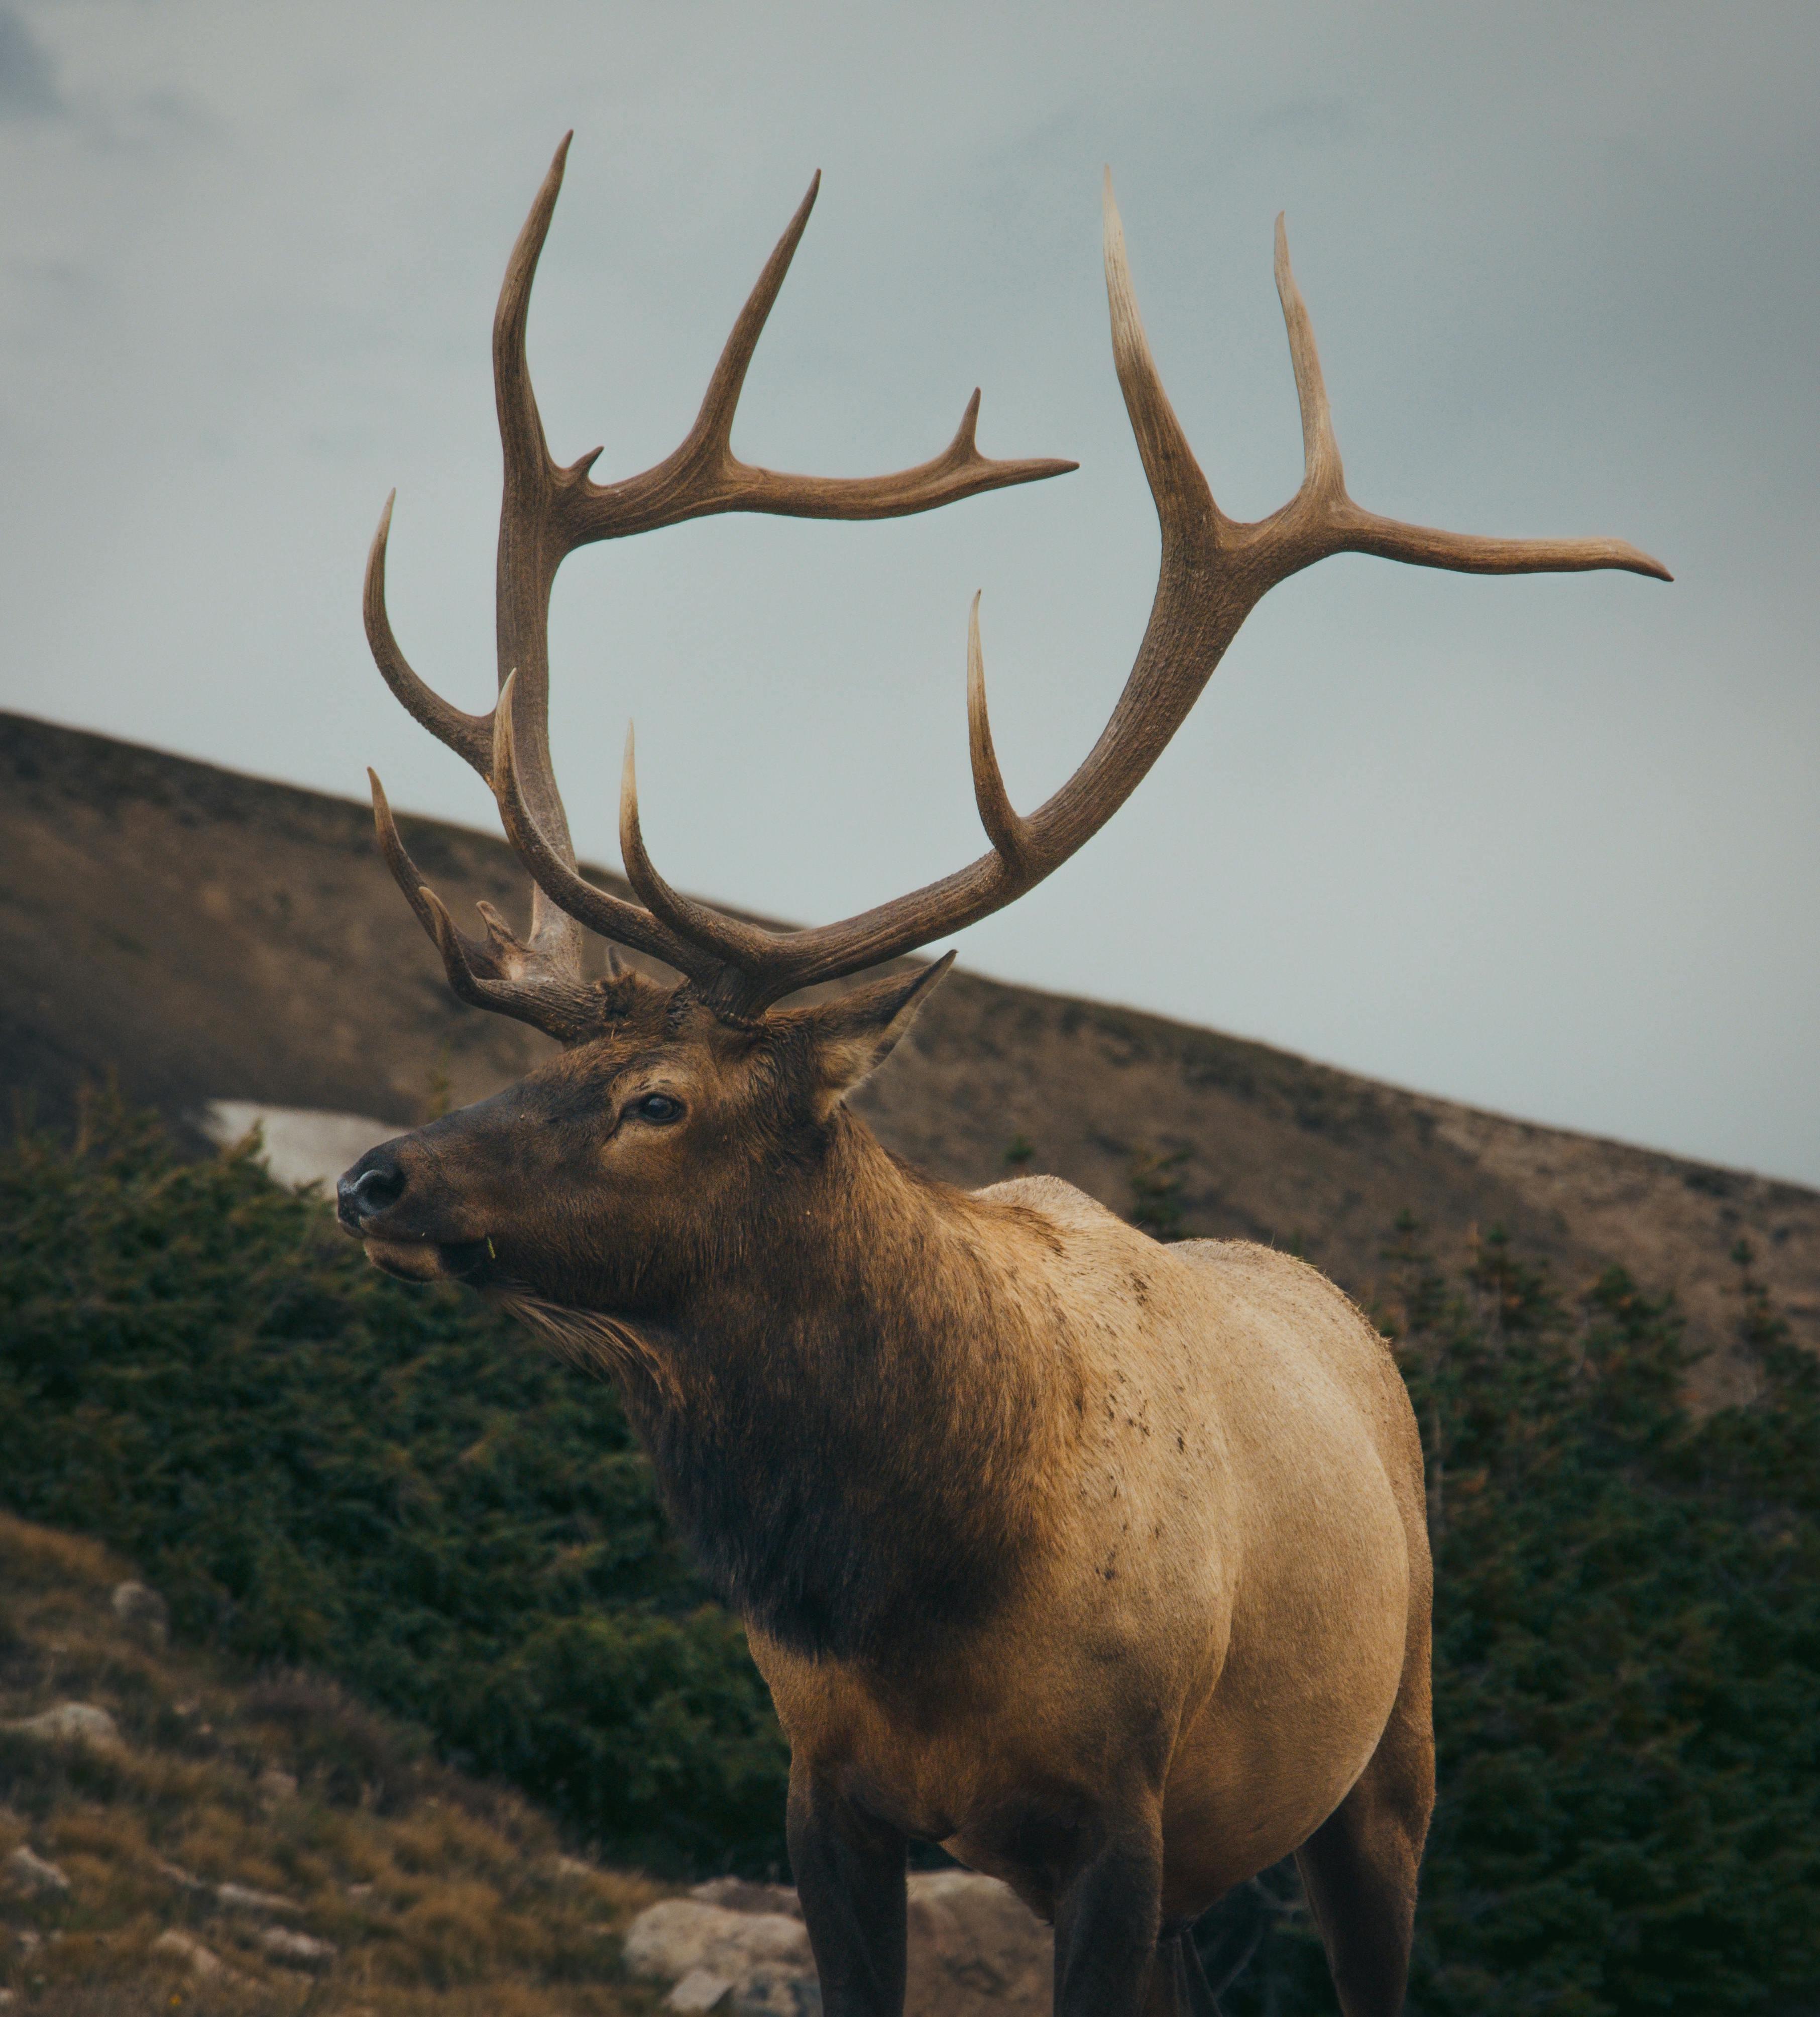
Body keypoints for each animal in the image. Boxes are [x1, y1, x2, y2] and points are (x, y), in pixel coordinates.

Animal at [334, 136, 1666, 2017]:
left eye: (662, 1099)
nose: (372, 1176)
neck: (919, 1583)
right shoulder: (825, 1791)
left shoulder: (1122, 1812)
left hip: (1384, 1767)